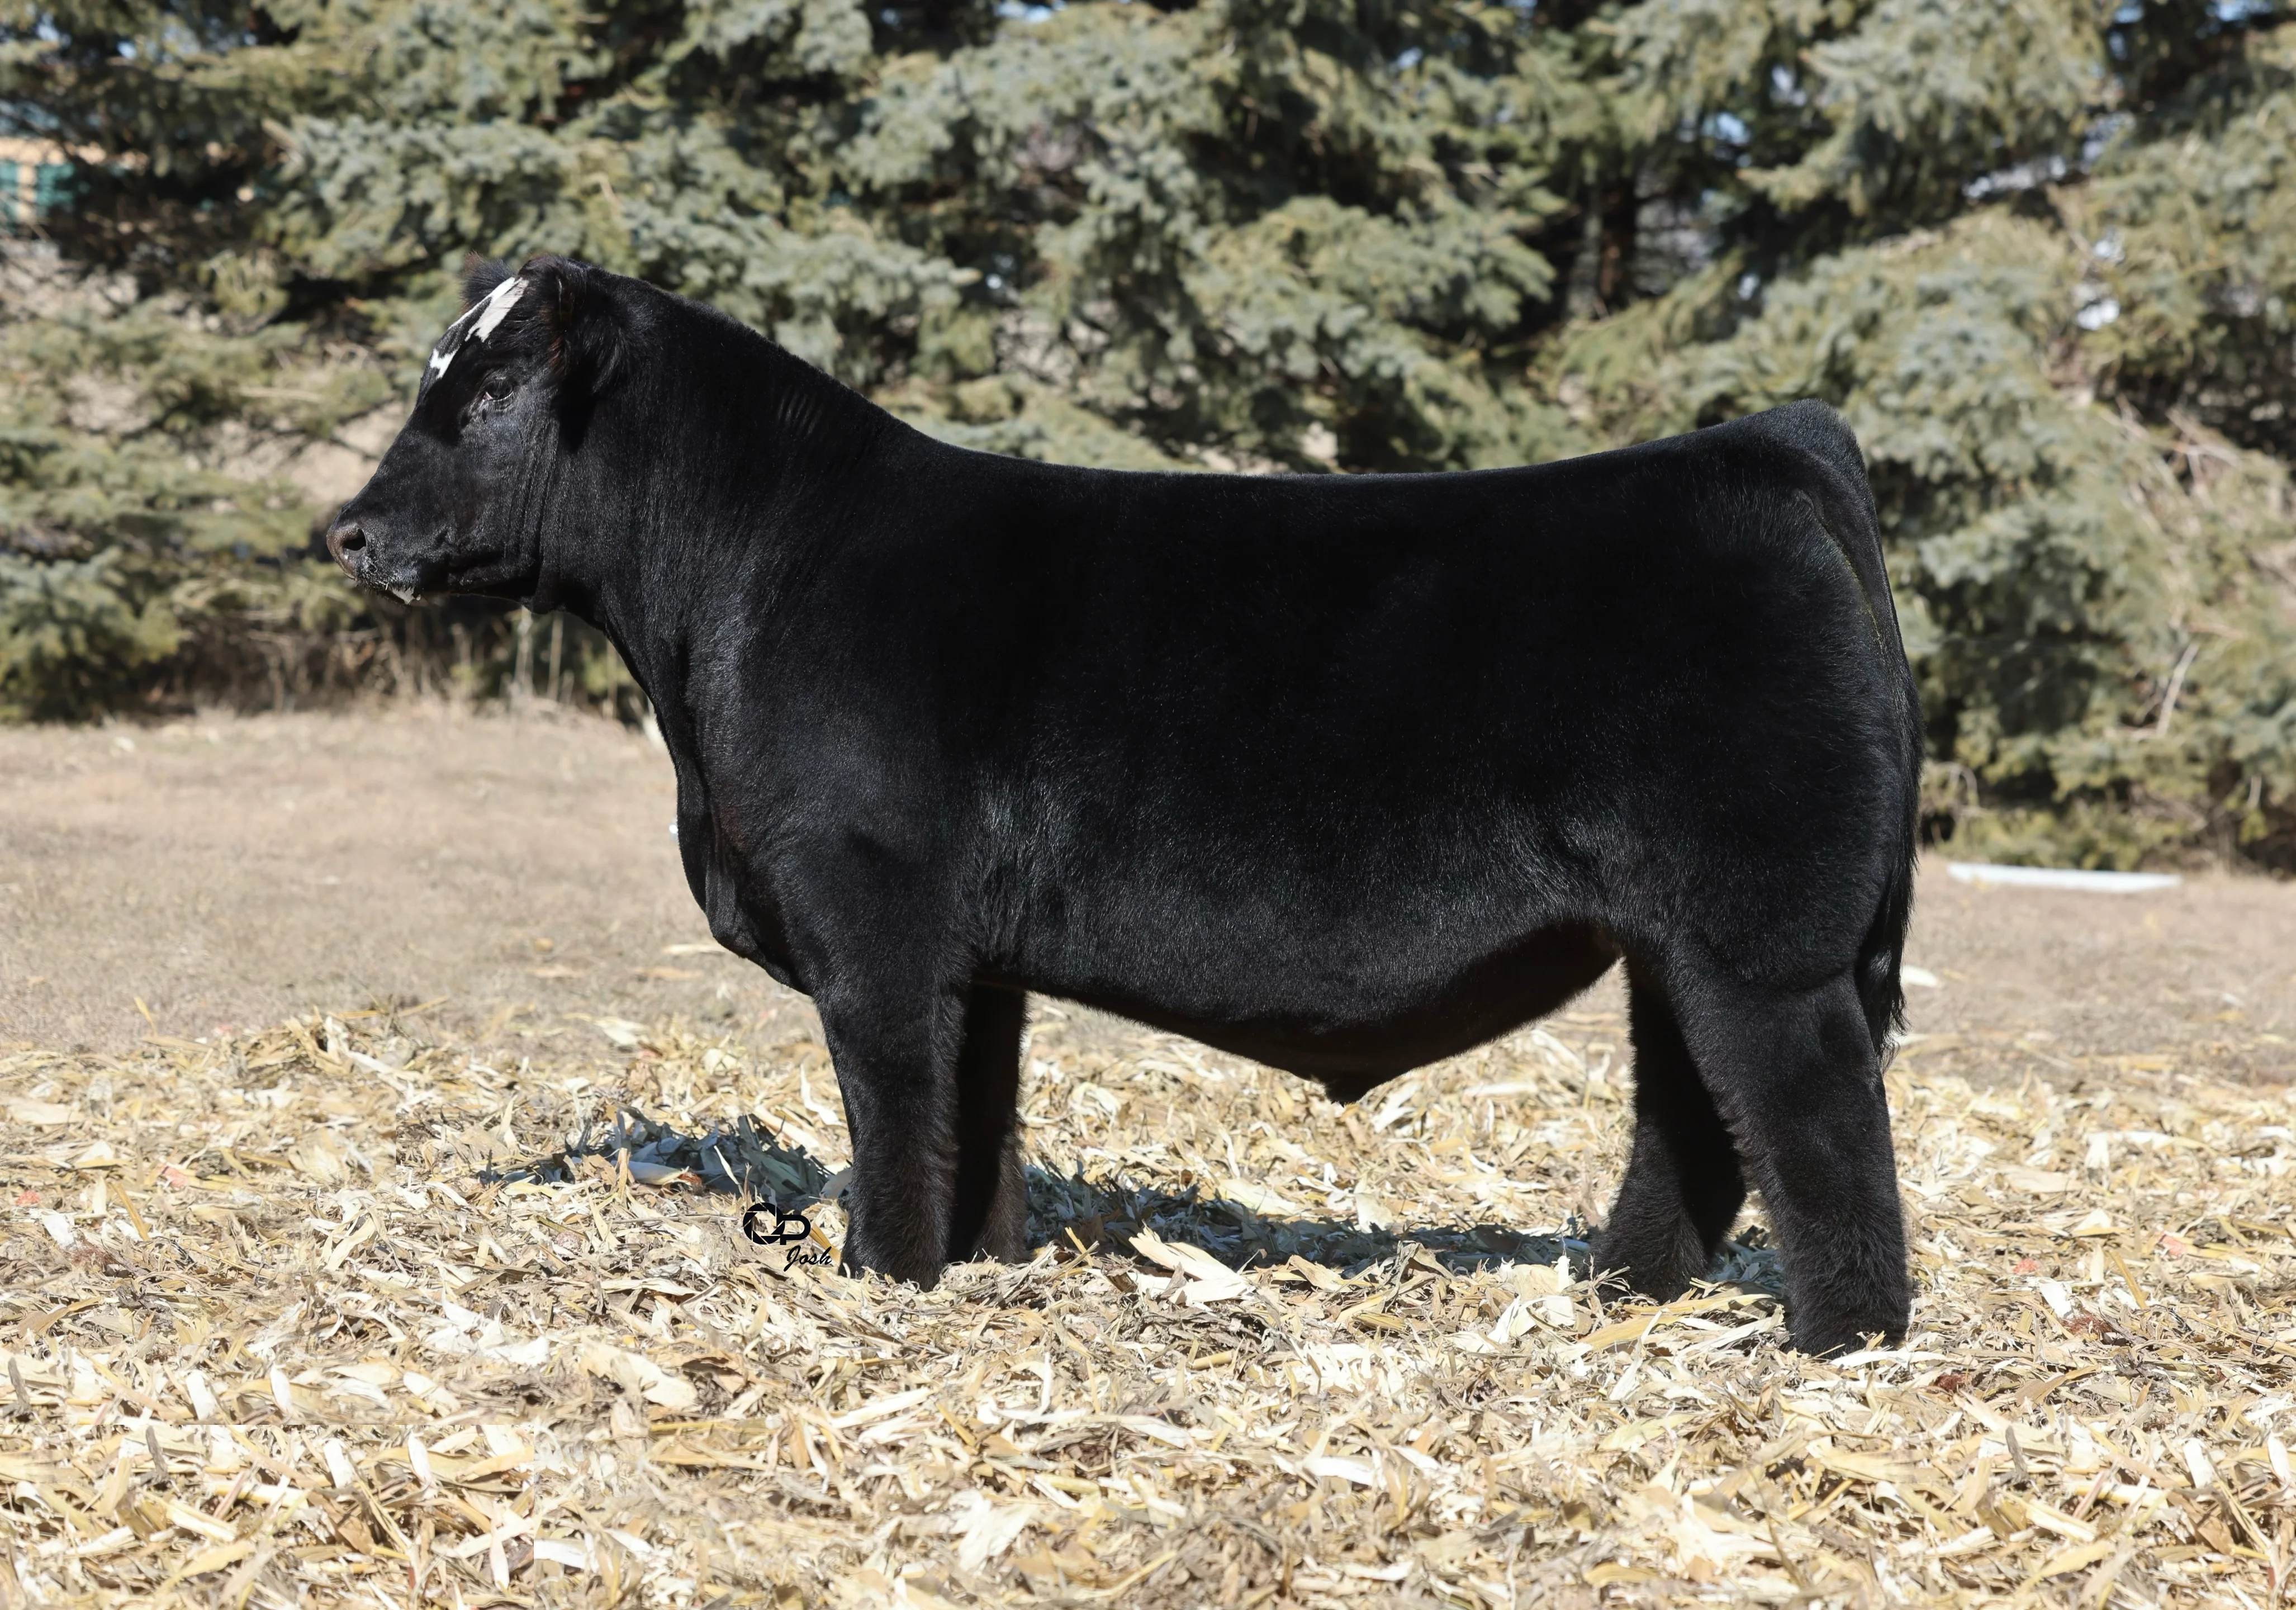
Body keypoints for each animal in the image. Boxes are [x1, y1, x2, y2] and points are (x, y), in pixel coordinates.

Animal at [328, 255, 1922, 1355]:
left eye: (487, 394)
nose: (343, 528)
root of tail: (1755, 444)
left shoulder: (869, 912)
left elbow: (890, 1102)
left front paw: (877, 1273)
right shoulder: (967, 950)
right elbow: (973, 1104)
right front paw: (974, 1261)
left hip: (1761, 945)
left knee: (1813, 1126)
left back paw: (1838, 1342)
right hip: (1675, 943)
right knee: (1689, 1116)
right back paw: (1618, 1290)